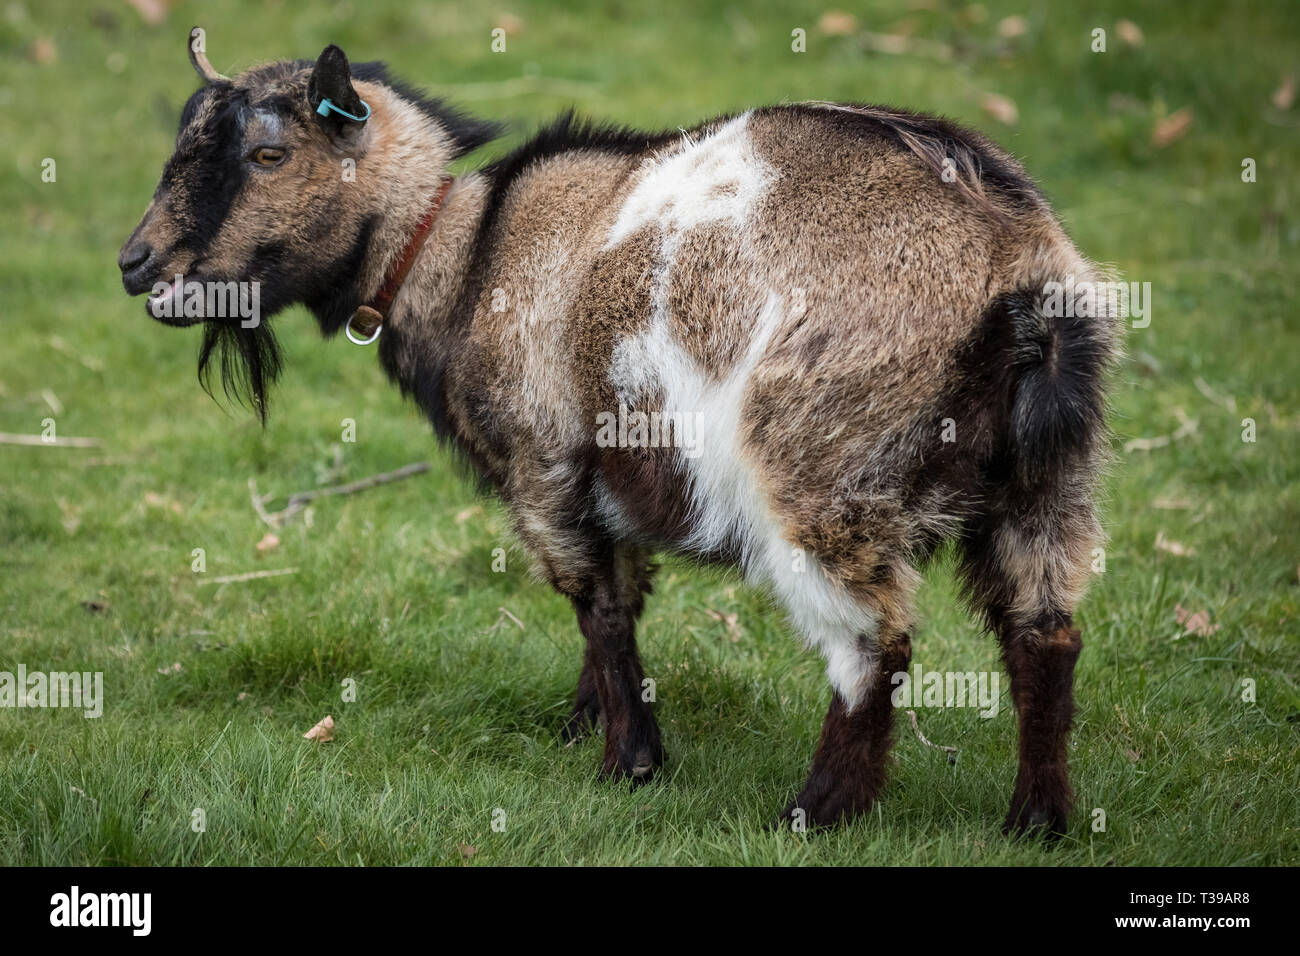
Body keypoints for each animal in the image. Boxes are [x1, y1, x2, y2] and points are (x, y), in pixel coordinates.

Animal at [116, 29, 1123, 832]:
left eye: (269, 153)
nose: (137, 264)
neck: (465, 252)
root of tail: (1015, 267)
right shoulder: (609, 478)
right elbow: (626, 597)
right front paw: (584, 723)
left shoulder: (541, 464)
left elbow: (595, 603)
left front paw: (628, 763)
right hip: (1050, 479)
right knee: (1045, 632)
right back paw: (1037, 819)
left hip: (820, 472)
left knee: (873, 644)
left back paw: (813, 811)